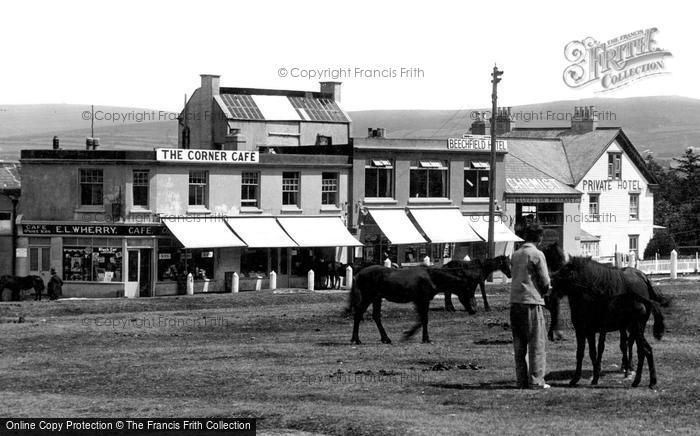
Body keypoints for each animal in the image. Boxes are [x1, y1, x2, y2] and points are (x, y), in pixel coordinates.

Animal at [348, 266, 476, 344]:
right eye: (468, 290)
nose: (473, 310)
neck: (431, 277)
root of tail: (358, 274)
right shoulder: (423, 300)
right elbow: (424, 319)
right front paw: (424, 338)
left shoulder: (418, 301)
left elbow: (421, 320)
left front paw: (410, 335)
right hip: (369, 297)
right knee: (358, 314)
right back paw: (356, 340)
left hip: (376, 299)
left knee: (375, 316)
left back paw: (385, 339)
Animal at [552, 255, 668, 388]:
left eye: (566, 271)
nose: (551, 282)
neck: (588, 301)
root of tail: (646, 300)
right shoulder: (584, 331)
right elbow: (583, 353)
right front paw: (582, 379)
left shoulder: (588, 331)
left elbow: (592, 352)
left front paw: (589, 379)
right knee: (642, 350)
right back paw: (641, 380)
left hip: (636, 329)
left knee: (643, 350)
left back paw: (642, 379)